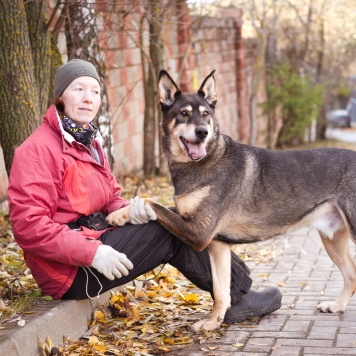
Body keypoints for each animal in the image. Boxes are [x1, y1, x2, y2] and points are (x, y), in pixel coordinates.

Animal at [107, 69, 356, 330]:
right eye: (184, 113)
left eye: (206, 114)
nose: (202, 132)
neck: (203, 162)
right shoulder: (216, 243)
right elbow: (220, 290)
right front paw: (213, 323)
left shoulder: (199, 232)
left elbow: (152, 203)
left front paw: (121, 213)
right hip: (332, 239)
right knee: (352, 275)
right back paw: (337, 305)